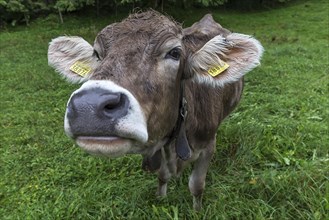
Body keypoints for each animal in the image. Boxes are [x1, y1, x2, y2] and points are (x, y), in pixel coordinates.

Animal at [47, 11, 262, 211]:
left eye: (175, 53)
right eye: (97, 55)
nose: (88, 106)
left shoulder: (208, 146)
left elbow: (196, 185)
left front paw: (197, 210)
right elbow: (162, 175)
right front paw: (161, 198)